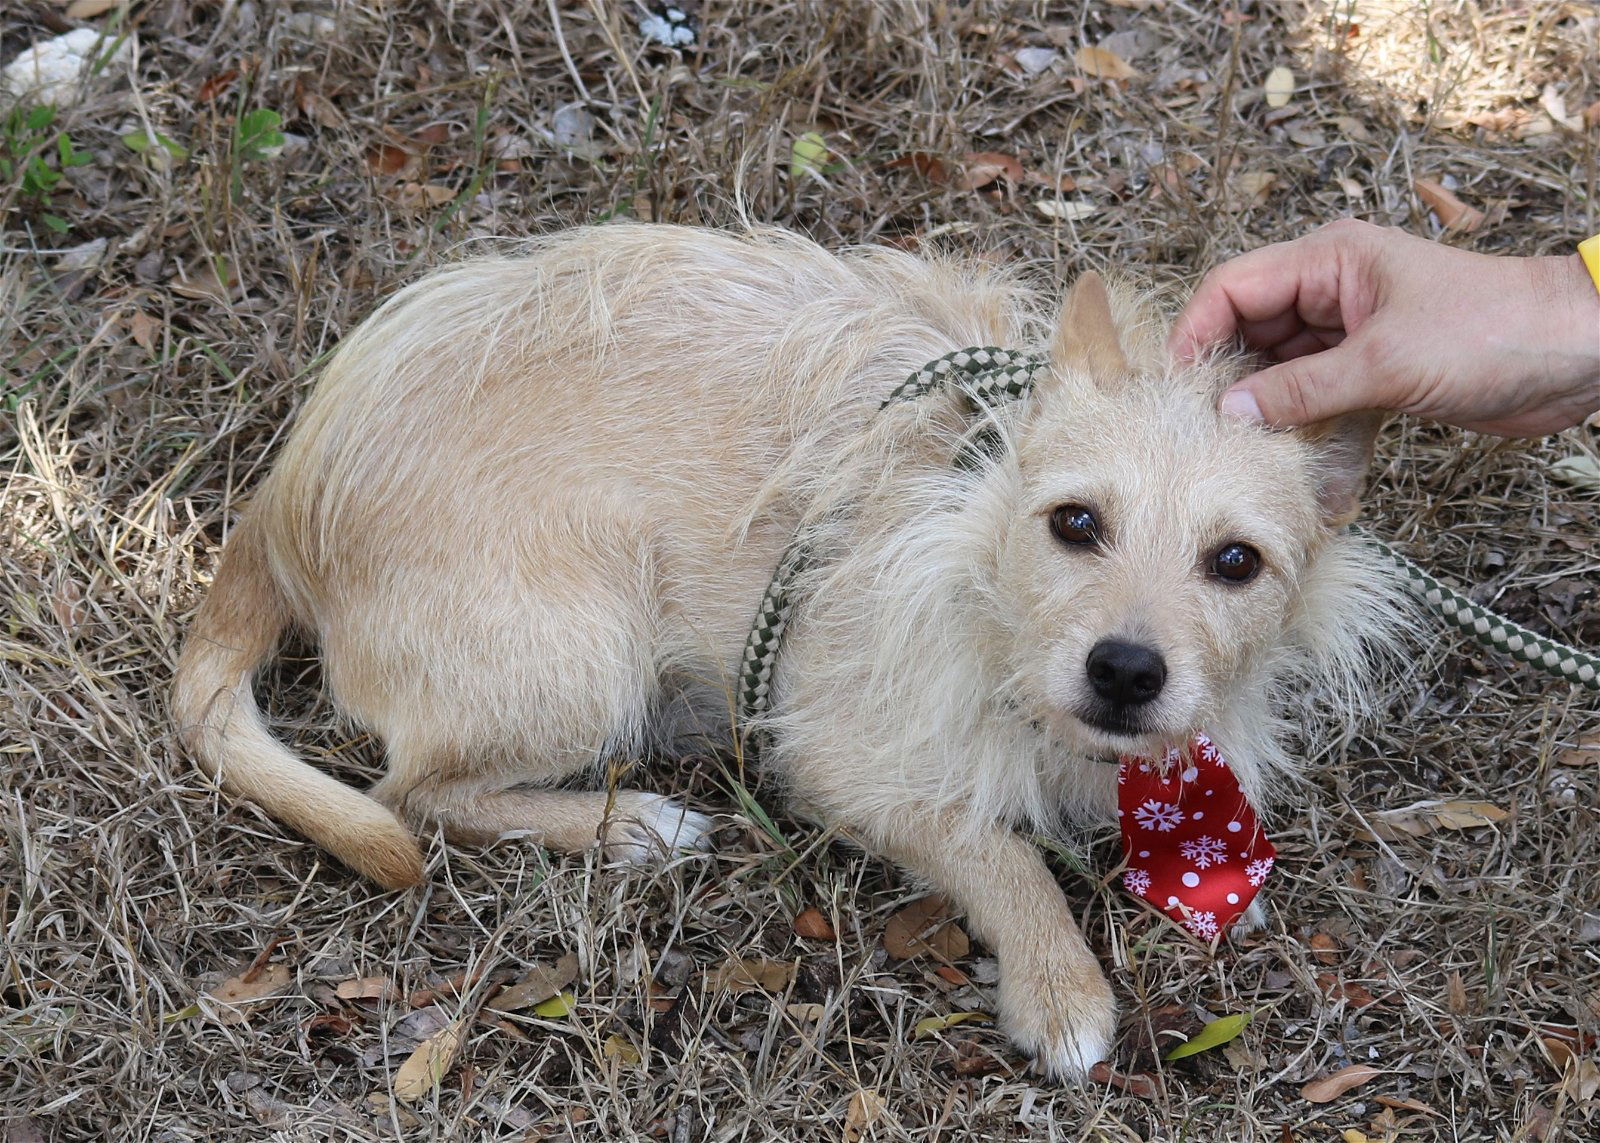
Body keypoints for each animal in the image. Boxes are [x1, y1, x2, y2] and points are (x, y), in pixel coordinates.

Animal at [168, 224, 1408, 1075]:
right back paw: (629, 825)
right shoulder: (833, 756)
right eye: (1074, 522)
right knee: (416, 796)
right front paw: (1060, 985)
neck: (969, 520)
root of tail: (280, 506)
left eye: (1235, 562)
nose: (1125, 670)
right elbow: (993, 848)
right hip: (588, 654)